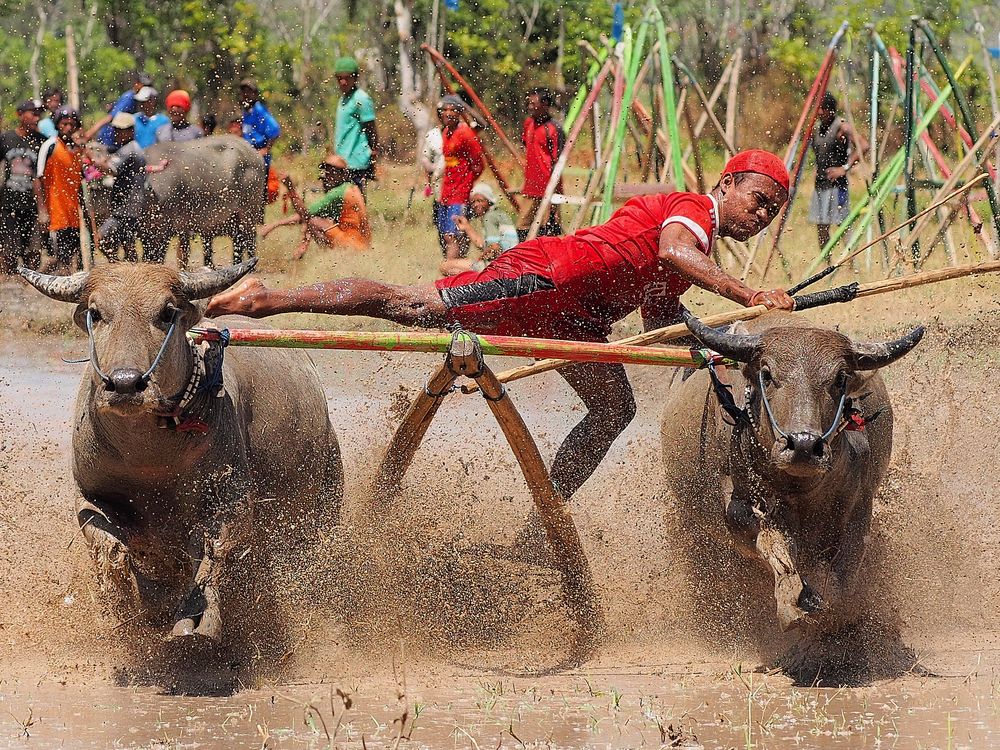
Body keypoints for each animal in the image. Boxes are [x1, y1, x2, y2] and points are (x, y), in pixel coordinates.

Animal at [16, 260, 340, 648]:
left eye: (166, 312)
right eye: (96, 312)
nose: (125, 383)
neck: (148, 459)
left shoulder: (232, 500)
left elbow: (211, 553)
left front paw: (197, 622)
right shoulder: (89, 497)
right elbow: (110, 550)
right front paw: (121, 615)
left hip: (325, 501)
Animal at [664, 312, 920, 680]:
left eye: (839, 377)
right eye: (768, 375)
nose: (802, 445)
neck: (802, 489)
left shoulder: (860, 507)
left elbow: (842, 577)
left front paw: (834, 626)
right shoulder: (741, 511)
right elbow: (776, 548)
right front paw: (792, 605)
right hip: (695, 530)